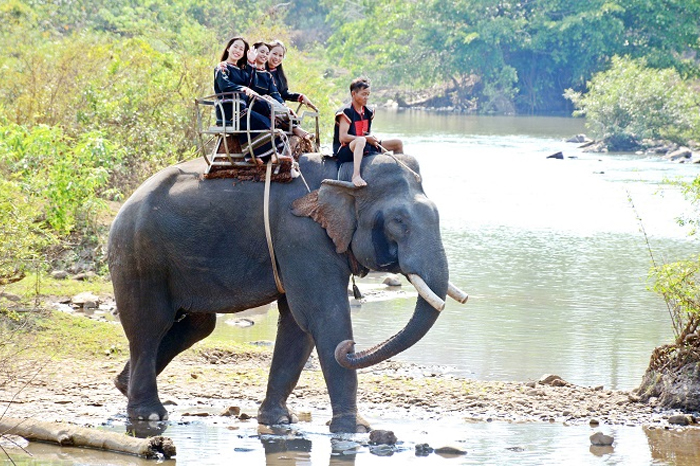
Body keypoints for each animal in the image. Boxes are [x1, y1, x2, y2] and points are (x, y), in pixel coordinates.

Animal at [109, 152, 468, 434]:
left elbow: (298, 323)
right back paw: (148, 414)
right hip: (139, 256)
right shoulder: (302, 236)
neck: (343, 173)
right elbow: (323, 316)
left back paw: (123, 385)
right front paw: (356, 428)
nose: (350, 347)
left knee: (198, 326)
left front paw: (280, 420)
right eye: (398, 221)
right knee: (149, 325)